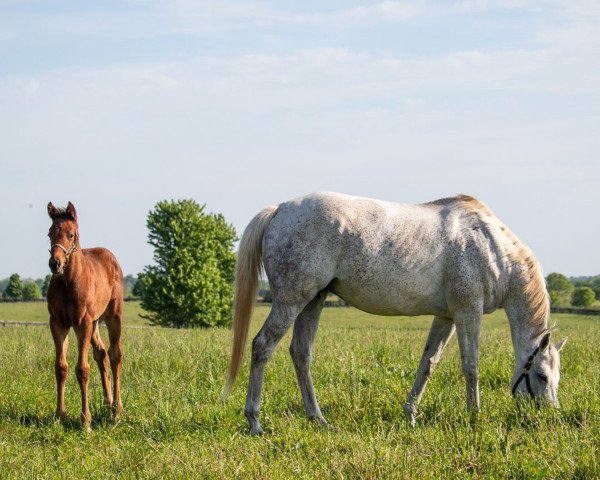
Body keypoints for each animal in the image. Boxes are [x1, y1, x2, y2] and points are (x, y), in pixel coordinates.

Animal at [46, 201, 124, 434]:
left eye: (71, 234)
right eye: (50, 233)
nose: (55, 264)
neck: (68, 282)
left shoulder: (83, 323)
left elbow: (82, 369)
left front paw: (86, 422)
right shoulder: (58, 323)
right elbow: (61, 367)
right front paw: (59, 416)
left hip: (112, 316)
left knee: (115, 354)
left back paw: (116, 411)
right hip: (96, 322)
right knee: (102, 353)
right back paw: (108, 403)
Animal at [223, 192, 564, 436]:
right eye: (542, 376)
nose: (550, 415)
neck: (492, 248)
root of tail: (280, 209)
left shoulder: (446, 317)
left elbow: (428, 364)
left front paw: (411, 415)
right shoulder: (469, 311)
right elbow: (471, 366)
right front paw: (474, 416)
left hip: (313, 300)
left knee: (300, 354)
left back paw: (318, 419)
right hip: (292, 300)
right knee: (262, 346)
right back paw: (255, 422)